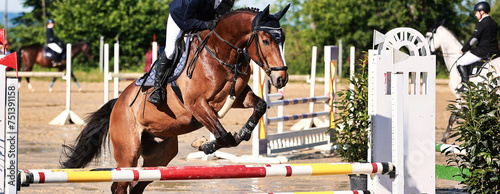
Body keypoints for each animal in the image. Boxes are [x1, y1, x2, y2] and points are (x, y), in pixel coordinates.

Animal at [61, 5, 290, 193]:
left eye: (283, 40)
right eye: (265, 41)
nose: (281, 78)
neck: (220, 54)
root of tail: (117, 104)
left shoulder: (237, 98)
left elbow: (259, 106)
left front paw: (242, 133)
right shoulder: (197, 105)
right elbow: (225, 137)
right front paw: (204, 145)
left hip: (160, 156)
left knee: (137, 184)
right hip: (128, 151)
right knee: (120, 184)